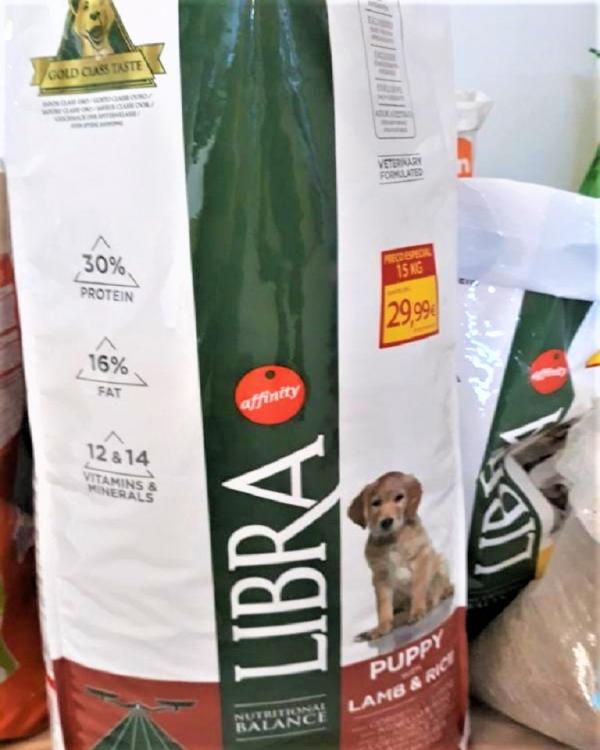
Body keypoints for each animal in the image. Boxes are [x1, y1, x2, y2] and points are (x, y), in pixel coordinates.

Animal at [348, 472, 454, 641]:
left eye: (399, 498)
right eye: (376, 503)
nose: (386, 521)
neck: (393, 540)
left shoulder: (421, 558)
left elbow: (418, 587)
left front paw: (417, 611)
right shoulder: (380, 576)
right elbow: (383, 606)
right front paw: (382, 627)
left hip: (440, 561)